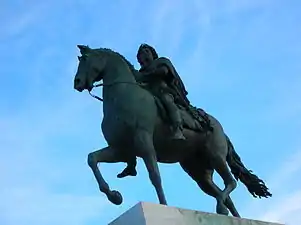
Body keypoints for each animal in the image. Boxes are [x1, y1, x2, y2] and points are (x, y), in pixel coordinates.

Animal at [73, 44, 272, 217]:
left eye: (85, 59)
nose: (77, 82)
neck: (122, 96)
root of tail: (220, 130)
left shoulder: (144, 142)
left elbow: (155, 176)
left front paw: (163, 205)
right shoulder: (120, 150)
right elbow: (92, 159)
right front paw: (114, 196)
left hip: (216, 156)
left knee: (230, 182)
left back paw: (221, 208)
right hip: (198, 171)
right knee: (222, 193)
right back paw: (231, 215)